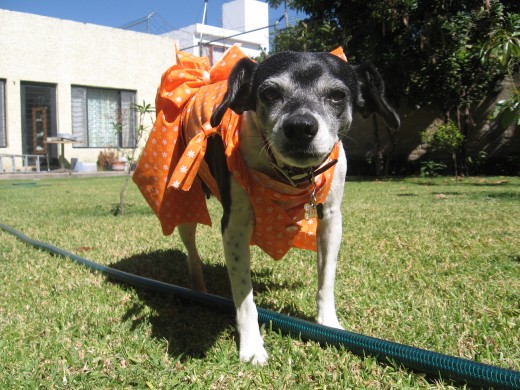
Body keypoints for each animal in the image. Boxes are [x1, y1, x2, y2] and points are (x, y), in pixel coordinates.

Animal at [133, 46, 398, 366]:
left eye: (337, 95)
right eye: (269, 93)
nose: (300, 126)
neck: (289, 177)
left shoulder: (331, 220)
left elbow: (326, 279)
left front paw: (329, 324)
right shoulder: (234, 227)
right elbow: (244, 296)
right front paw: (251, 347)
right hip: (185, 202)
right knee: (191, 251)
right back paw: (199, 290)